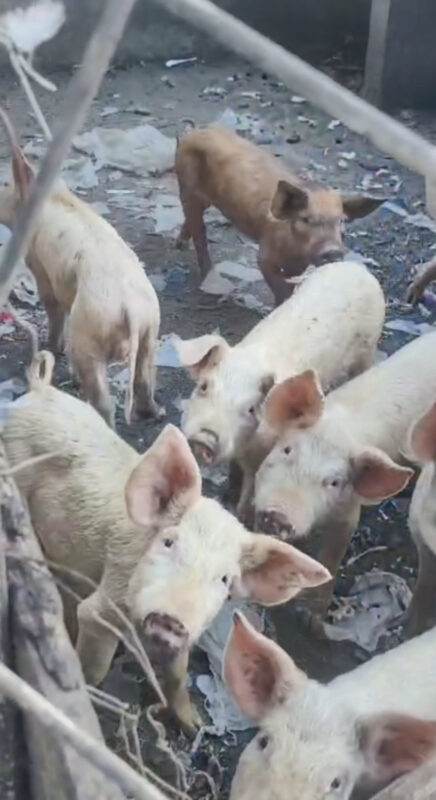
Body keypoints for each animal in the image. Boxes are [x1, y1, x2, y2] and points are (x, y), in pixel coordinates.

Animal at [0, 107, 161, 426]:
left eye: (4, 183)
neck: (52, 196)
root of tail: (131, 309)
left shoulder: (39, 264)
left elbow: (51, 303)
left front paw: (52, 346)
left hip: (89, 330)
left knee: (102, 396)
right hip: (152, 328)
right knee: (144, 377)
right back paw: (155, 414)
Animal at [3, 351, 330, 734]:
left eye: (224, 579)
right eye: (169, 542)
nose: (170, 618)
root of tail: (38, 390)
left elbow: (178, 674)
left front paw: (194, 726)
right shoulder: (106, 604)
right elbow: (94, 661)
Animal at [175, 125, 385, 305]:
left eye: (341, 220)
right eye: (306, 219)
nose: (332, 251)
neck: (295, 249)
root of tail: (194, 131)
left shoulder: (299, 264)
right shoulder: (265, 255)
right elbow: (278, 285)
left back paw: (180, 245)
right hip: (187, 186)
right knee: (198, 230)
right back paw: (205, 273)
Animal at [175, 260, 385, 515]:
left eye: (251, 409)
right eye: (204, 386)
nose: (206, 436)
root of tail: (358, 267)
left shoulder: (263, 457)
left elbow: (249, 493)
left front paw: (238, 512)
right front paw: (226, 495)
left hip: (368, 349)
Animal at [253, 333, 436, 618]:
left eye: (334, 482)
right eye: (287, 449)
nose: (279, 514)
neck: (338, 430)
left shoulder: (349, 510)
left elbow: (332, 556)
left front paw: (313, 617)